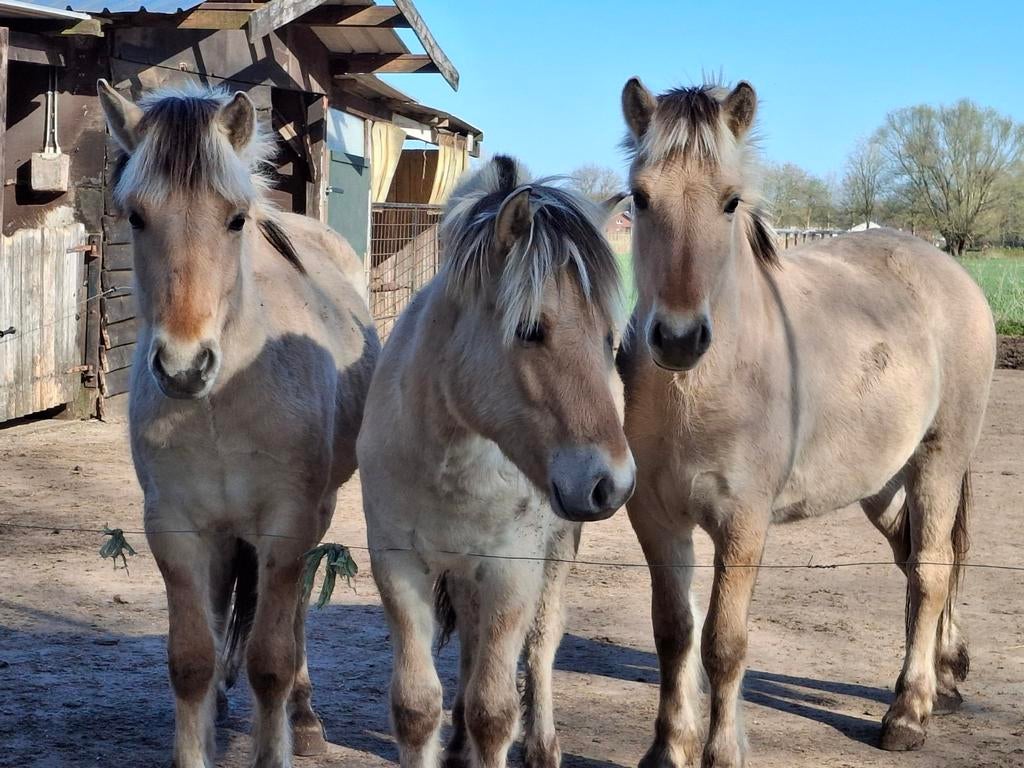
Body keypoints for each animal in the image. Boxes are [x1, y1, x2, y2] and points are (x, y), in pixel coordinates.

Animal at [96, 80, 379, 768]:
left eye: (234, 218)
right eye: (136, 216)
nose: (183, 366)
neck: (224, 398)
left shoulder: (286, 524)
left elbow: (270, 660)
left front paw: (280, 735)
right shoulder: (175, 527)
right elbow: (191, 660)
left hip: (318, 512)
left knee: (294, 614)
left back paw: (304, 717)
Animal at [357, 155, 636, 768]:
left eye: (609, 338)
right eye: (530, 330)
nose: (612, 484)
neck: (447, 461)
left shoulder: (512, 570)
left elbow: (495, 710)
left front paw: (496, 731)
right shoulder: (399, 565)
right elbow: (416, 706)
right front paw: (448, 731)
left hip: (555, 555)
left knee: (543, 640)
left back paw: (543, 744)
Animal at [616, 78, 995, 768]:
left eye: (731, 201)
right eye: (640, 196)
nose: (679, 339)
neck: (700, 389)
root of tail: (948, 269)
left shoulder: (743, 523)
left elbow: (723, 642)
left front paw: (720, 753)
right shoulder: (656, 517)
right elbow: (674, 633)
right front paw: (667, 749)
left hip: (940, 461)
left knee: (930, 571)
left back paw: (909, 712)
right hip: (883, 483)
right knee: (916, 560)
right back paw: (944, 679)